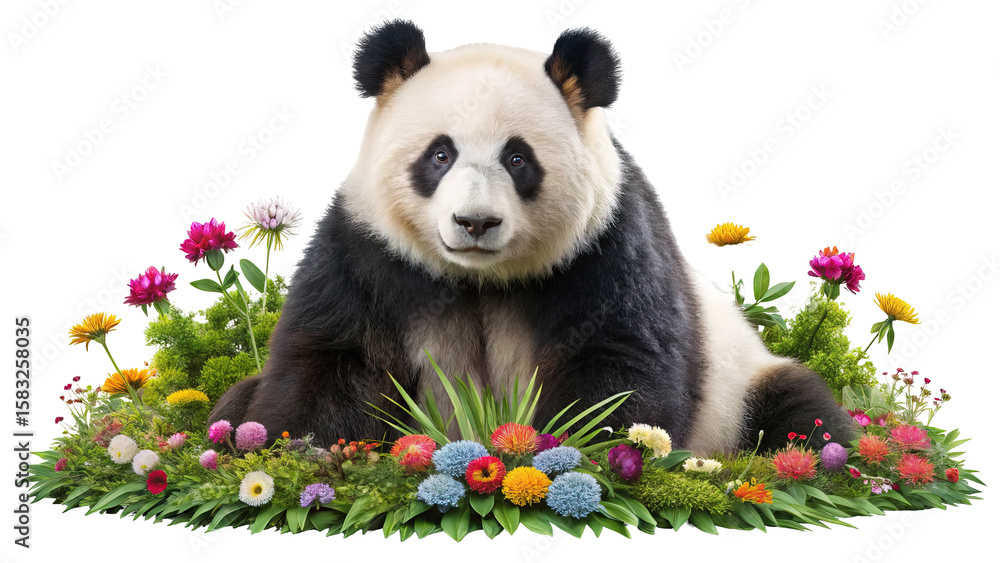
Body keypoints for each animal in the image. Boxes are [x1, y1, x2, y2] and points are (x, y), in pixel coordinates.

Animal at [209, 20, 855, 455]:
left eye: (518, 159)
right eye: (440, 155)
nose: (475, 222)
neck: (479, 279)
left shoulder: (607, 248)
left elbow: (619, 365)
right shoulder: (370, 253)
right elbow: (334, 361)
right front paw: (302, 450)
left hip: (741, 384)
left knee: (799, 414)